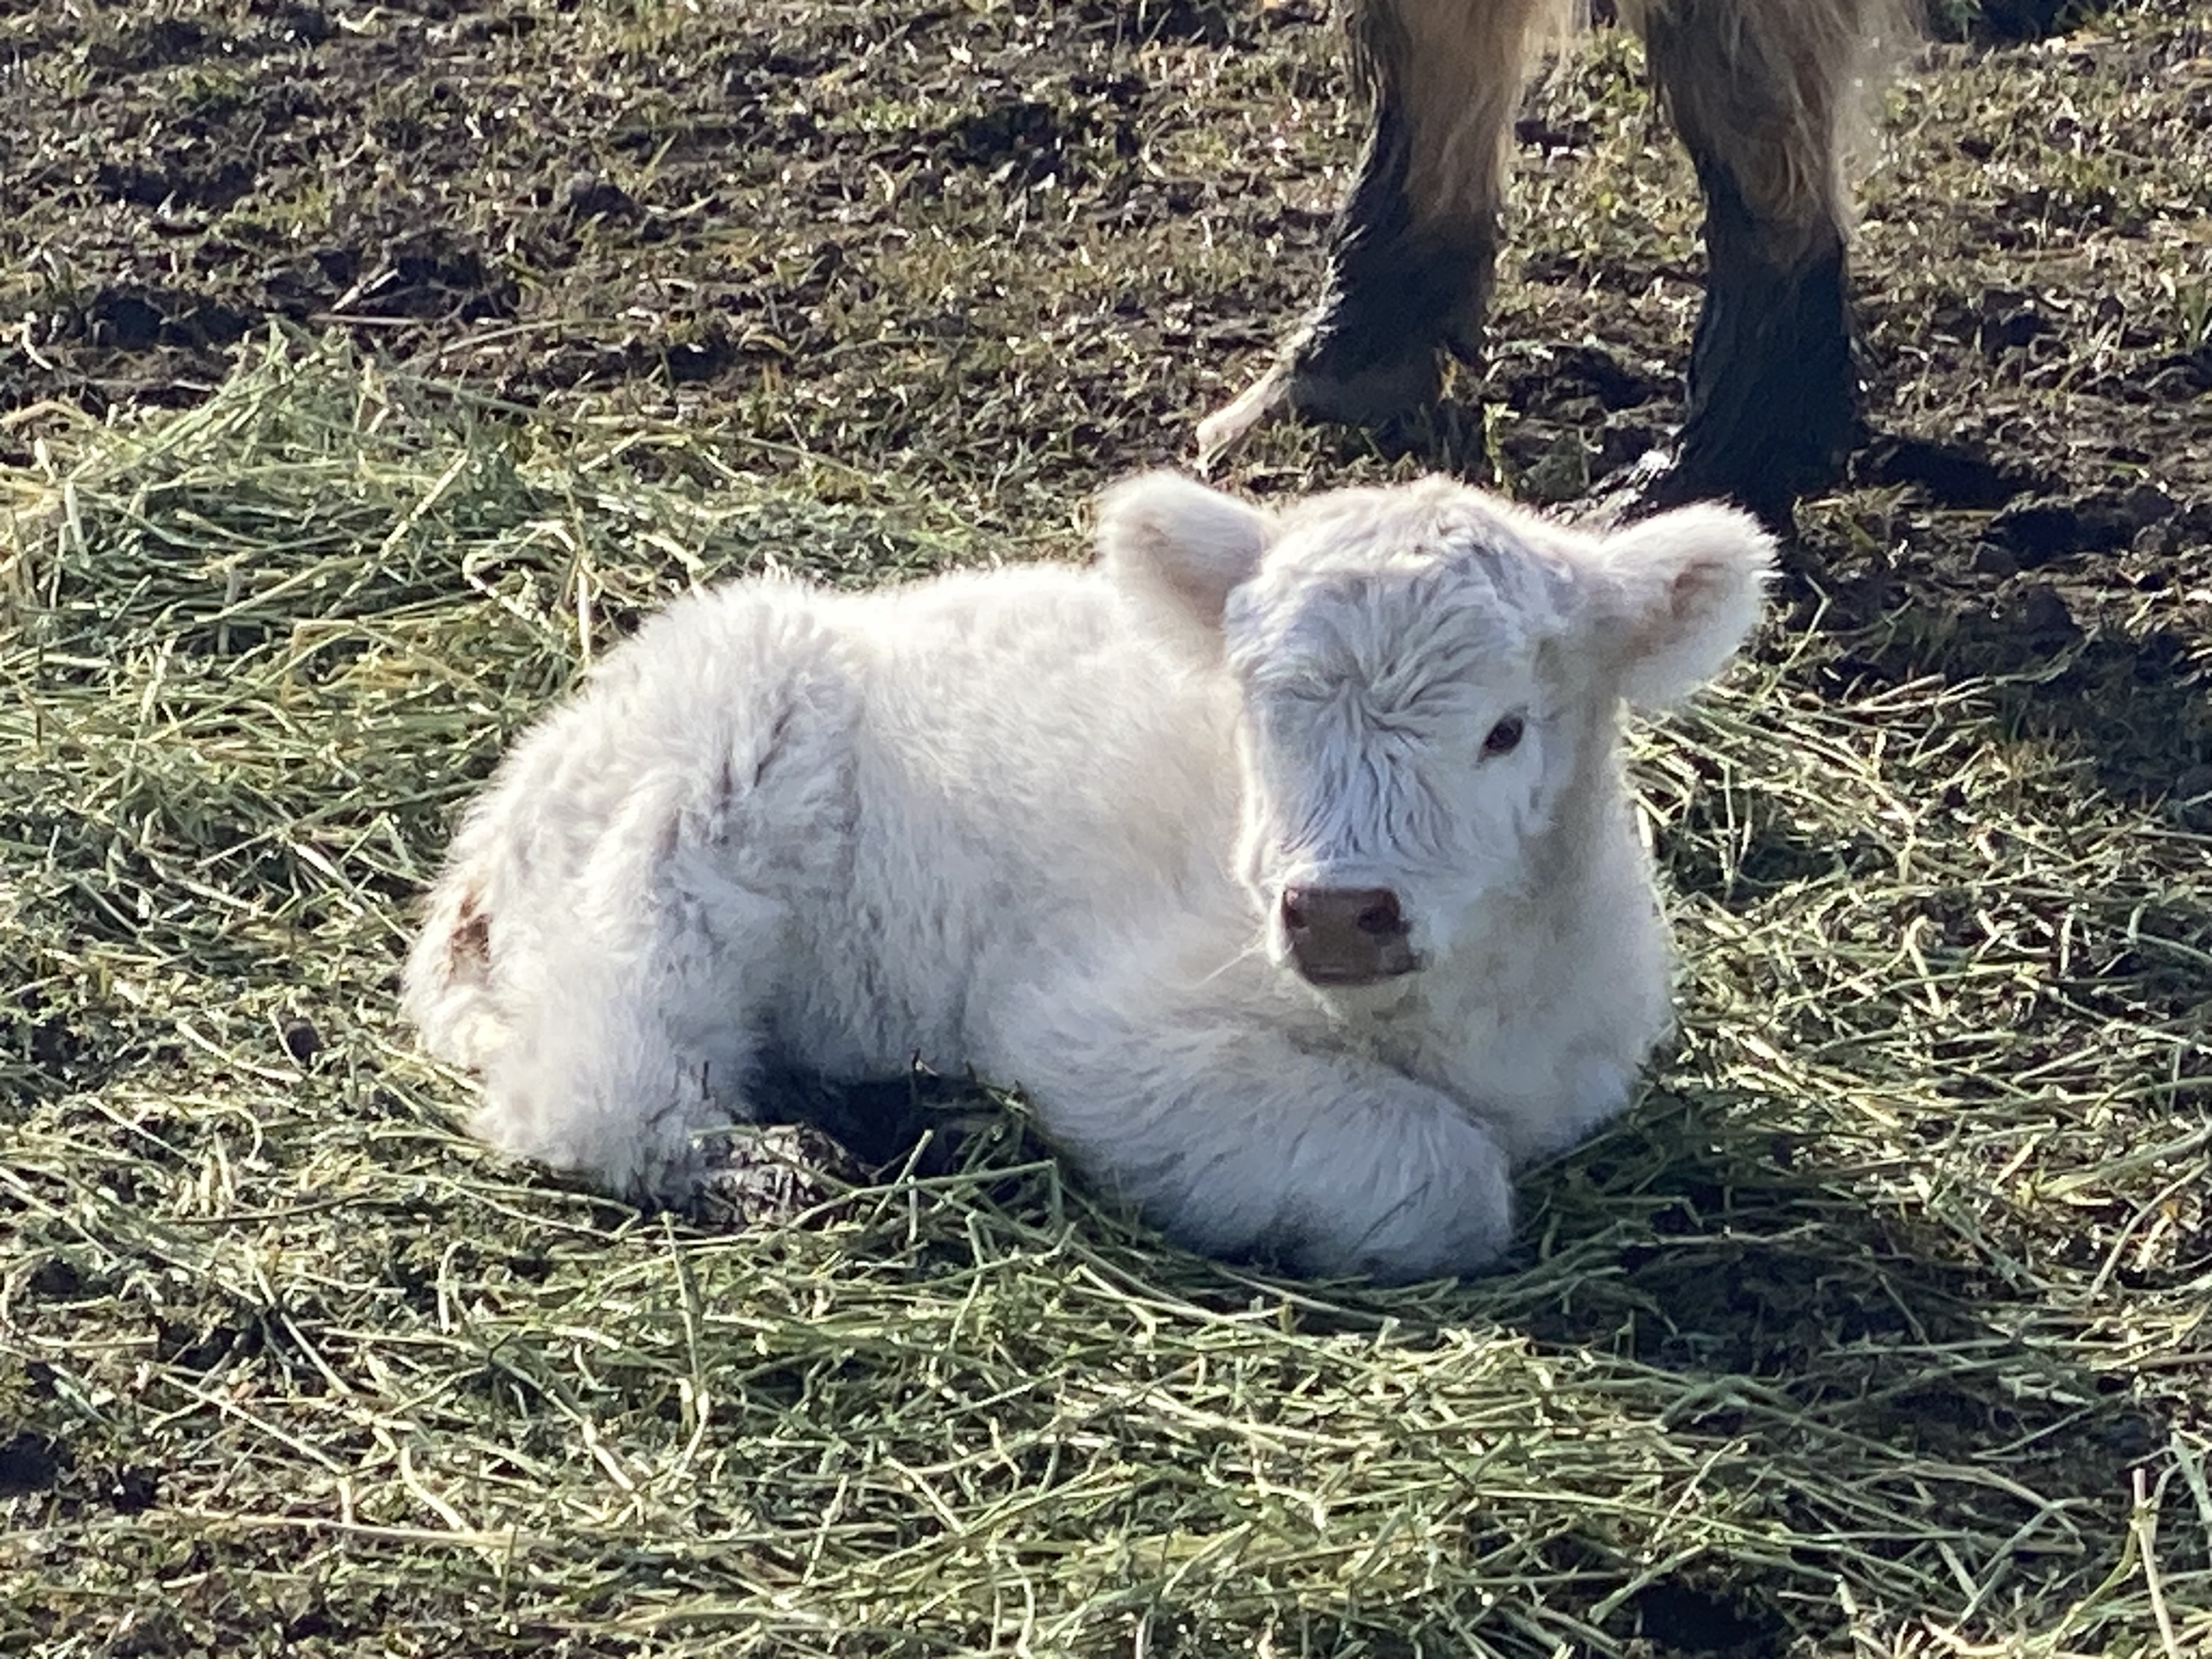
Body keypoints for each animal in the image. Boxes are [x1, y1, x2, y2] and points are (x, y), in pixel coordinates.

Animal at [407, 473, 1769, 1283]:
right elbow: (1448, 1183)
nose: (1337, 911)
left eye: (1506, 731)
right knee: (590, 1069)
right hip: (692, 807)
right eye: (1261, 715)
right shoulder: (1097, 1026)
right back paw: (763, 1163)